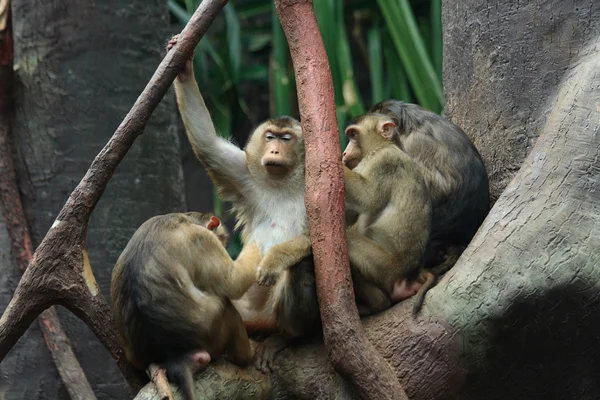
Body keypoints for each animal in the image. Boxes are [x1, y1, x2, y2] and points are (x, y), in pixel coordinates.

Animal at [110, 211, 260, 398]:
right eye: (221, 242)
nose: (224, 248)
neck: (185, 219)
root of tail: (174, 354)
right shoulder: (202, 239)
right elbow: (234, 282)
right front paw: (255, 247)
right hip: (213, 337)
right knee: (226, 306)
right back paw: (245, 356)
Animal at [166, 35, 322, 376]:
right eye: (270, 136)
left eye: (287, 138)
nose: (274, 150)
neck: (282, 183)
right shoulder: (247, 176)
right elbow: (208, 146)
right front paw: (184, 68)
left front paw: (273, 260)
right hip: (244, 307)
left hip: (272, 314)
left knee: (302, 267)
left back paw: (287, 337)